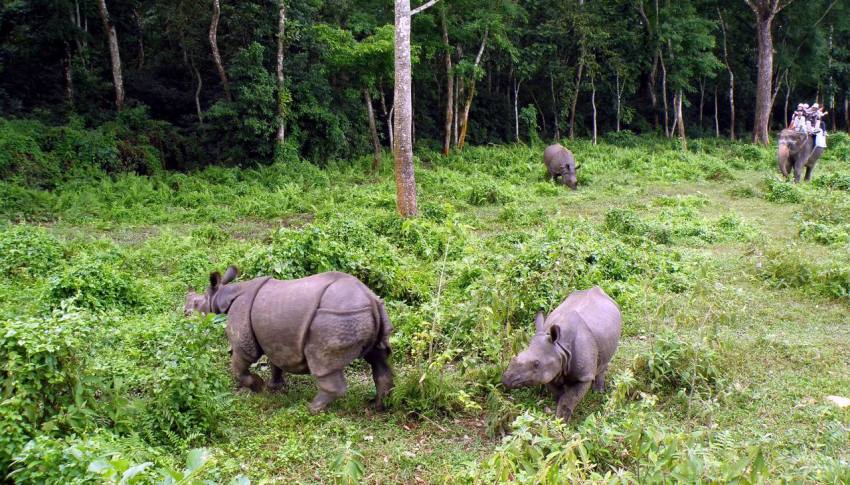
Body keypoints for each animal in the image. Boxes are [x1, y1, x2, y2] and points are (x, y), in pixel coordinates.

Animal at [184, 264, 392, 412]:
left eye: (196, 303)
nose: (184, 312)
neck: (222, 295)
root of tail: (371, 299)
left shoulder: (244, 339)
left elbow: (239, 364)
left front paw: (258, 387)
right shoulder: (274, 338)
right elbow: (276, 361)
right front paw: (274, 386)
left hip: (336, 318)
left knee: (322, 362)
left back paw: (312, 409)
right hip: (370, 314)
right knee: (379, 358)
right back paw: (378, 406)